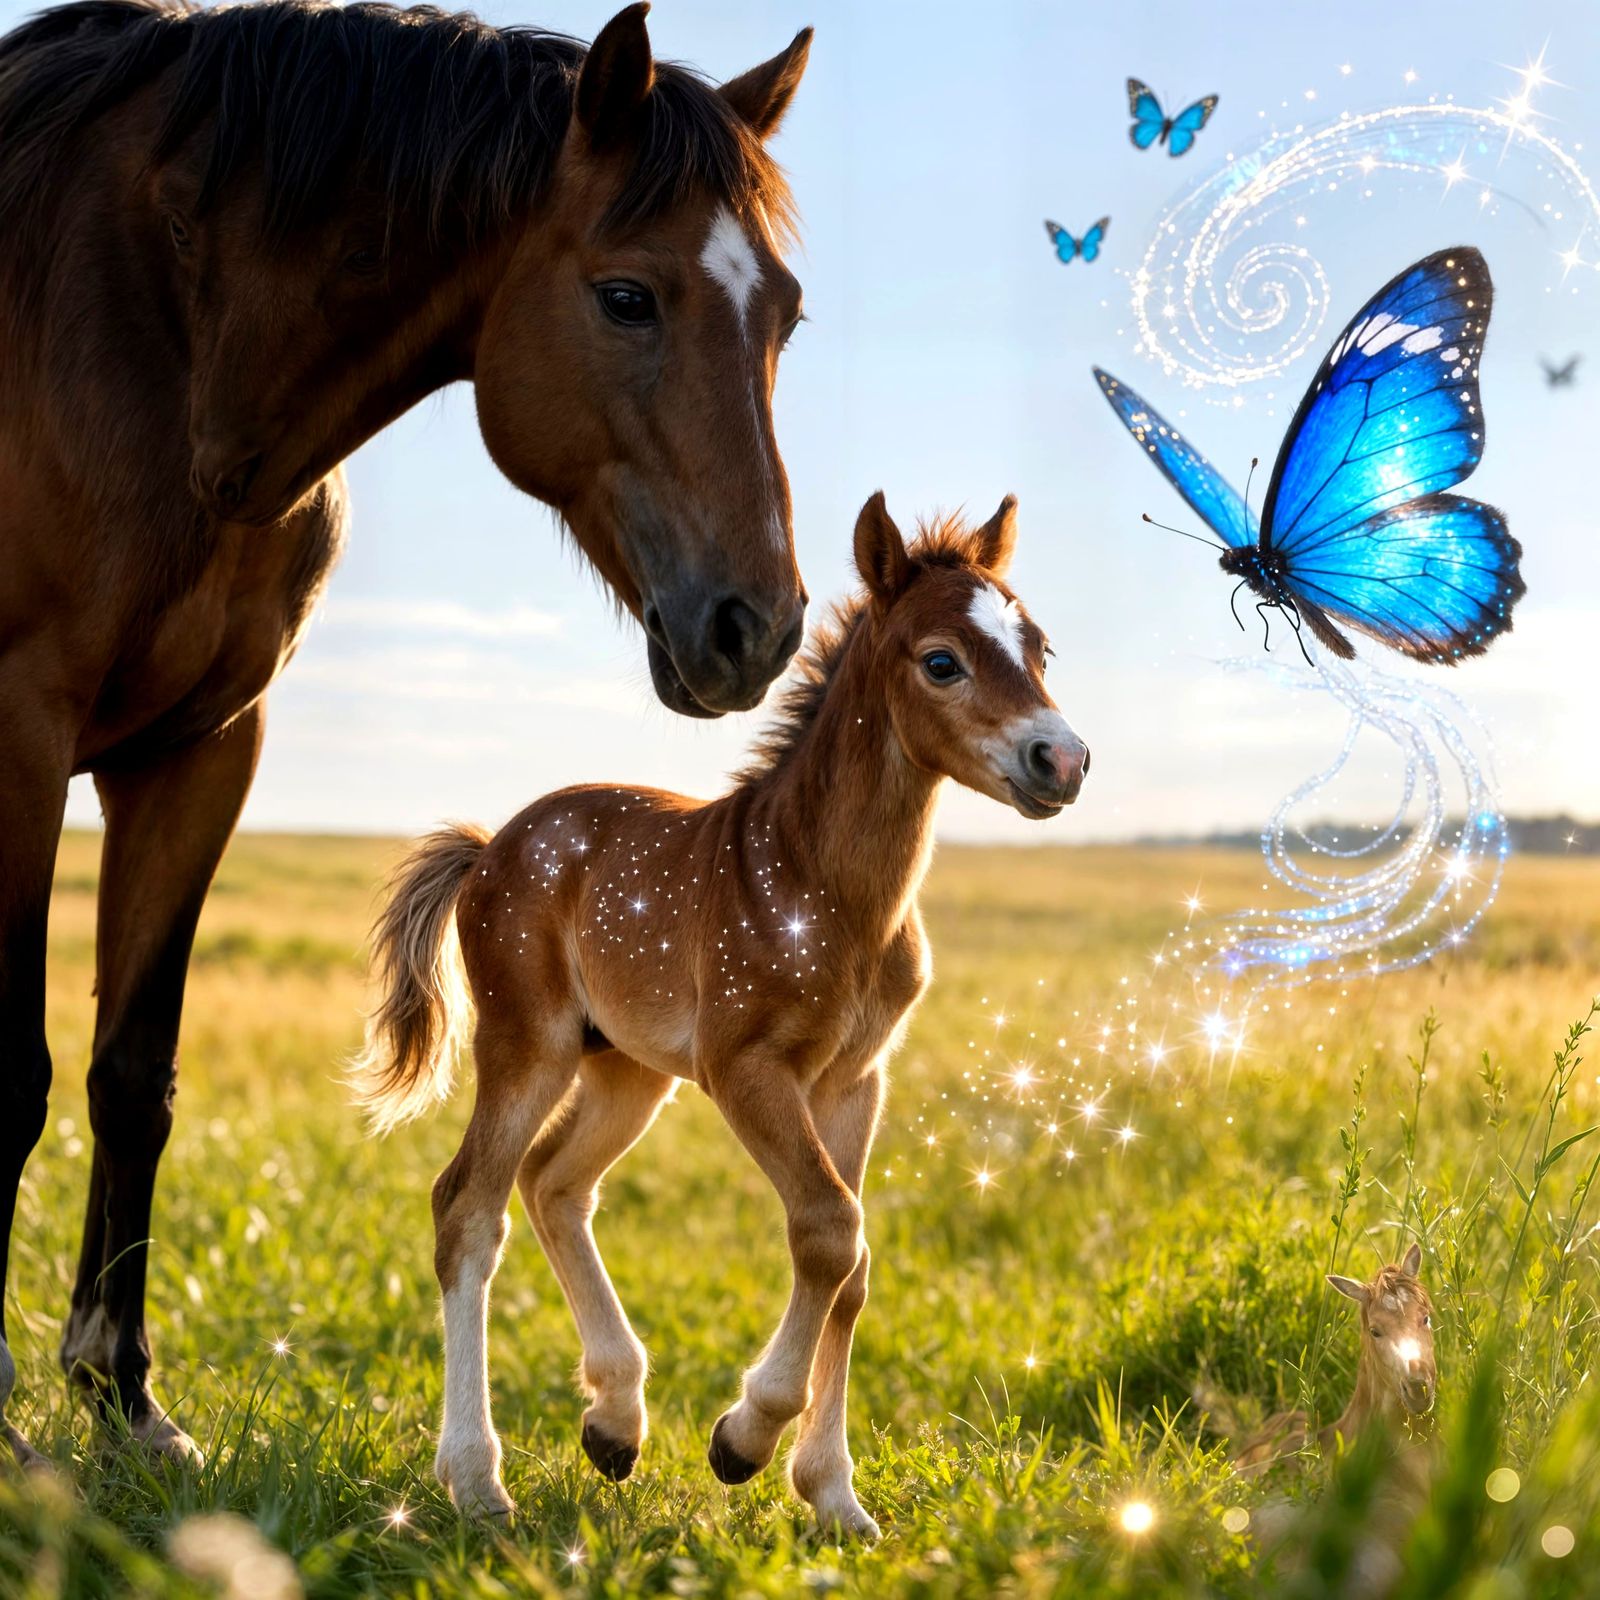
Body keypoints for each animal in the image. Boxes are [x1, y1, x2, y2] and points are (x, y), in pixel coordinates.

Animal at [0, 0, 814, 1469]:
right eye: (626, 296)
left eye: (785, 312)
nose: (758, 627)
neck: (159, 343)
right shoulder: (20, 729)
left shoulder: (204, 750)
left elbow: (131, 1075)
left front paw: (122, 1396)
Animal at [352, 492, 1091, 1534]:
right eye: (942, 660)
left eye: (1039, 647)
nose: (1060, 758)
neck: (830, 890)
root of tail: (490, 846)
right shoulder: (745, 1068)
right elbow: (828, 1227)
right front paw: (746, 1438)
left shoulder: (855, 1079)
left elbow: (854, 1266)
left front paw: (834, 1496)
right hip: (528, 1044)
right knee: (470, 1205)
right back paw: (478, 1481)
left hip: (625, 1069)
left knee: (553, 1184)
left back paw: (614, 1421)